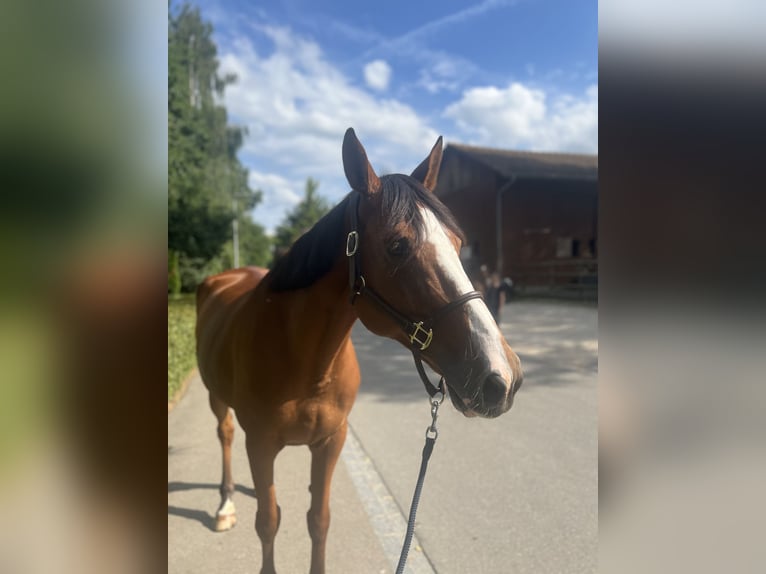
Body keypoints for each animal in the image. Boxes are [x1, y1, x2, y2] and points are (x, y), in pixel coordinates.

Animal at [195, 129, 524, 574]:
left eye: (458, 243)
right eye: (398, 245)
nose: (502, 377)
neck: (305, 365)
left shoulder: (331, 441)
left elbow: (318, 519)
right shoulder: (260, 444)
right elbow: (268, 522)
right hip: (217, 400)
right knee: (226, 436)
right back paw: (226, 503)